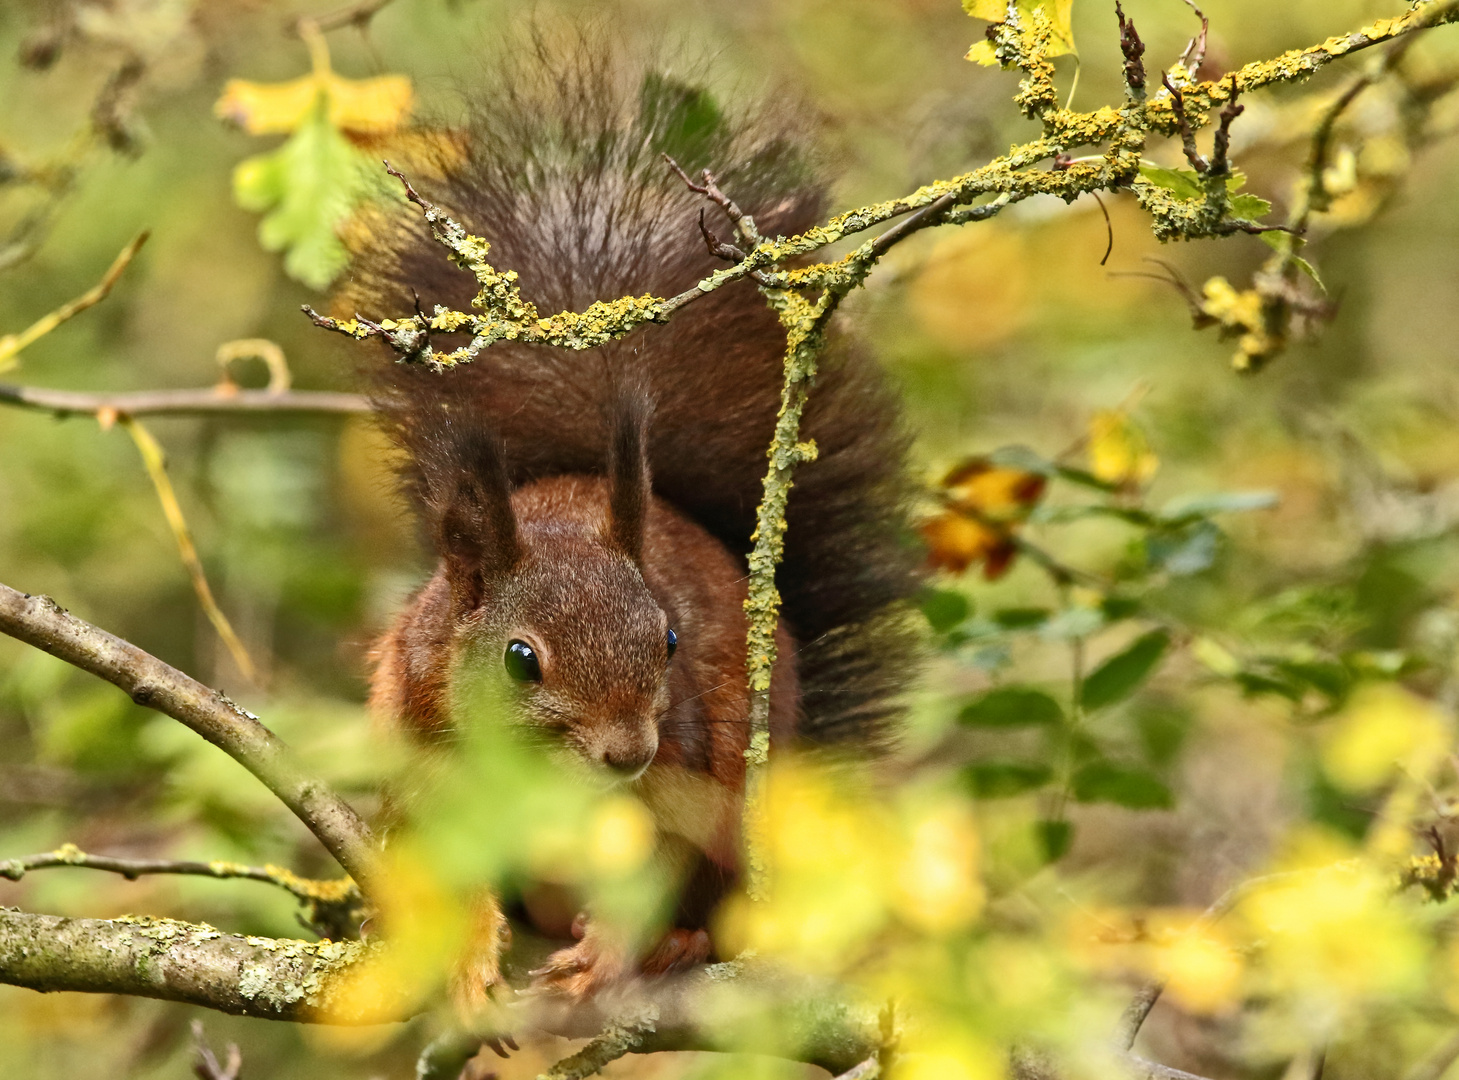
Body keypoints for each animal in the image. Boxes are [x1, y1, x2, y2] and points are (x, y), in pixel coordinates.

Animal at [335, 40, 916, 1004]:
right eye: (519, 659)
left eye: (671, 640)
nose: (626, 753)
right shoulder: (425, 753)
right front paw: (466, 950)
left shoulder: (687, 769)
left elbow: (657, 864)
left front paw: (611, 949)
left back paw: (673, 947)